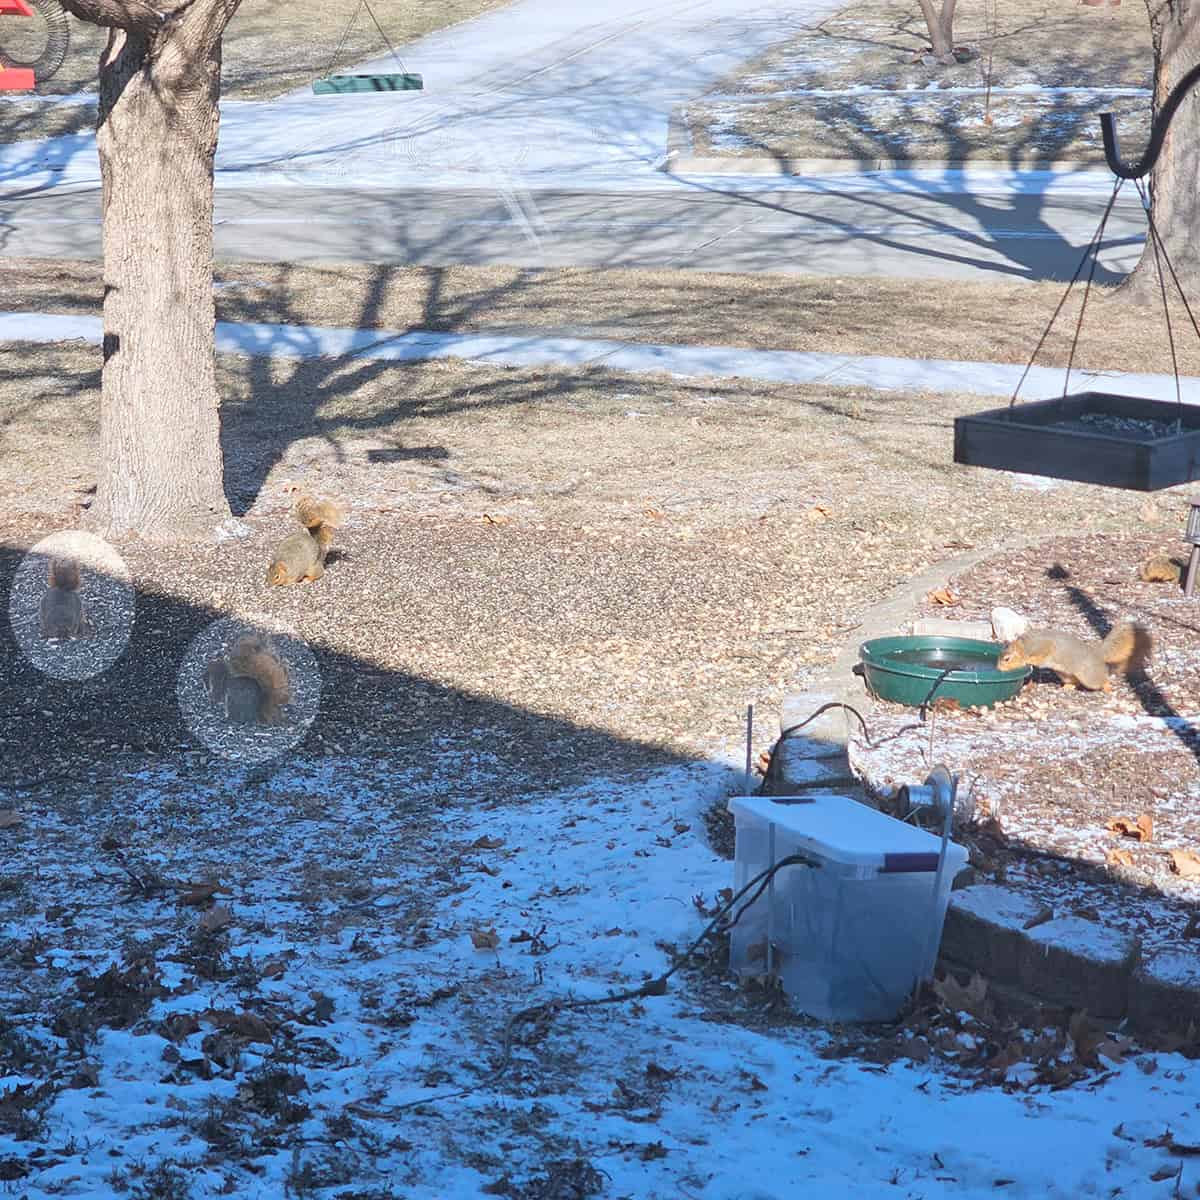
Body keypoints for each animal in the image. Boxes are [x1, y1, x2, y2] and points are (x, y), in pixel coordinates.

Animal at [997, 623, 1149, 691]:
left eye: (1007, 659)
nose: (998, 669)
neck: (1026, 646)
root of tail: (1097, 654)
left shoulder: (1044, 646)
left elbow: (1040, 656)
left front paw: (1028, 661)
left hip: (1089, 677)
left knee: (1101, 680)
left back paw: (1107, 688)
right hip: (1065, 675)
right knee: (1075, 683)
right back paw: (1066, 687)